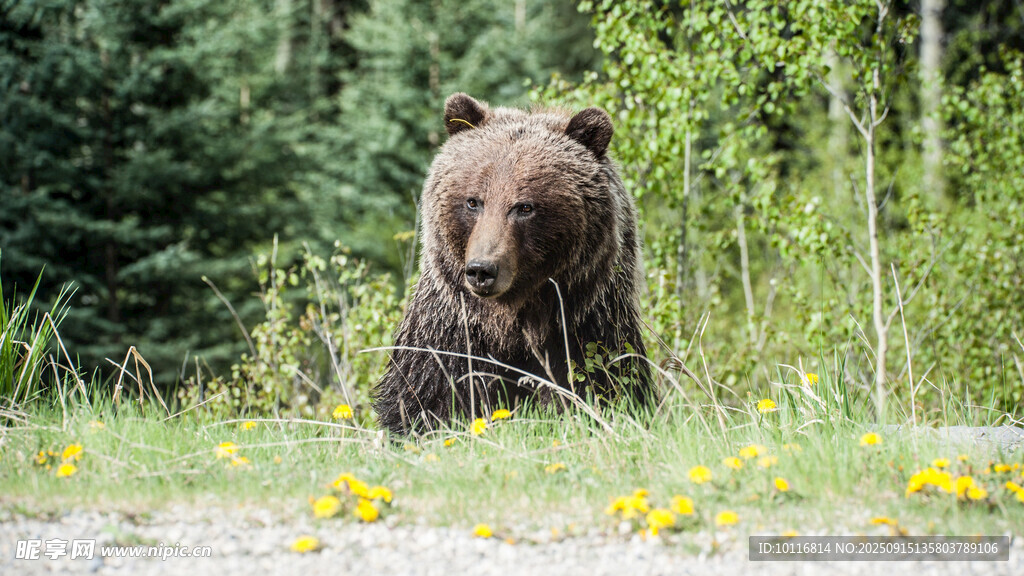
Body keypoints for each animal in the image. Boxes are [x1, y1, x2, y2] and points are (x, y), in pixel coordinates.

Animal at [373, 93, 653, 434]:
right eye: (473, 201)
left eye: (524, 207)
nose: (482, 270)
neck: (514, 322)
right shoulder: (453, 330)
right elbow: (428, 396)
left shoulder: (586, 325)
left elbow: (602, 385)